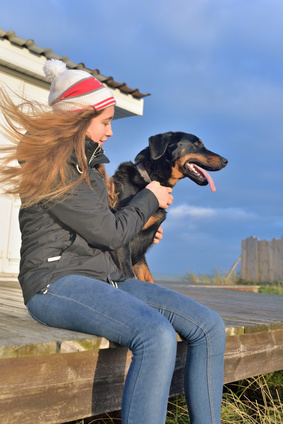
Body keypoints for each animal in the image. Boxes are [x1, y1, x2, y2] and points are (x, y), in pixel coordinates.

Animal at [108, 131, 229, 284]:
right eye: (197, 143)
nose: (226, 161)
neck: (152, 179)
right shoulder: (122, 242)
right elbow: (129, 275)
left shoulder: (140, 250)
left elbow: (148, 277)